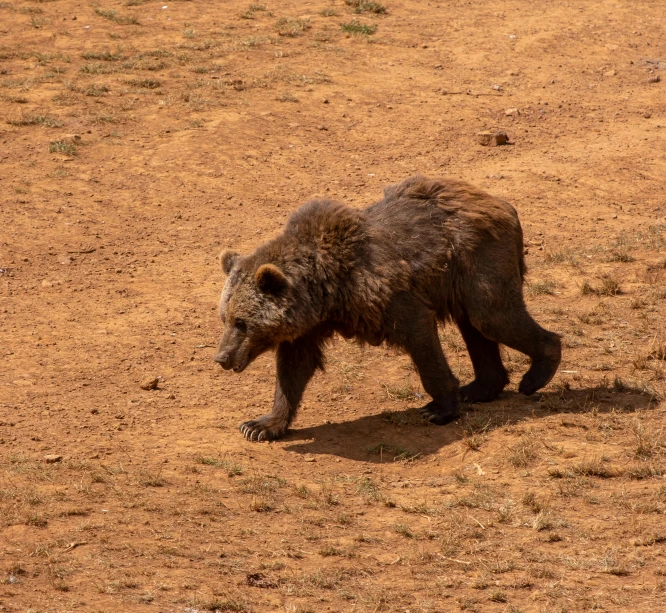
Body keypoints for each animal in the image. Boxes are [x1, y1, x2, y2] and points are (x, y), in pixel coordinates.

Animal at [215, 176, 556, 440]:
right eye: (225, 318)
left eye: (242, 322)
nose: (221, 357)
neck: (328, 290)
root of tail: (502, 203)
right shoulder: (309, 325)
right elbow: (294, 369)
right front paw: (260, 425)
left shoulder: (388, 298)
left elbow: (422, 342)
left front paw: (438, 408)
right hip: (463, 279)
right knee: (475, 326)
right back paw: (480, 388)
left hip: (479, 259)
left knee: (493, 317)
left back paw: (535, 375)